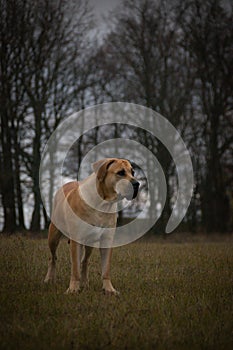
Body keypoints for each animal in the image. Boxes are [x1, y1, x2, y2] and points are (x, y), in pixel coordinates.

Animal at [43, 159, 139, 296]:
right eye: (120, 173)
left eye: (133, 172)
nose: (137, 183)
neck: (103, 203)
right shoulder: (76, 240)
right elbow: (75, 269)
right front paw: (73, 289)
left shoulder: (107, 240)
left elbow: (105, 269)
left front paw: (109, 289)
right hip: (53, 235)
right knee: (53, 257)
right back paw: (49, 279)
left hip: (89, 243)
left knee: (84, 261)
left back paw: (84, 283)